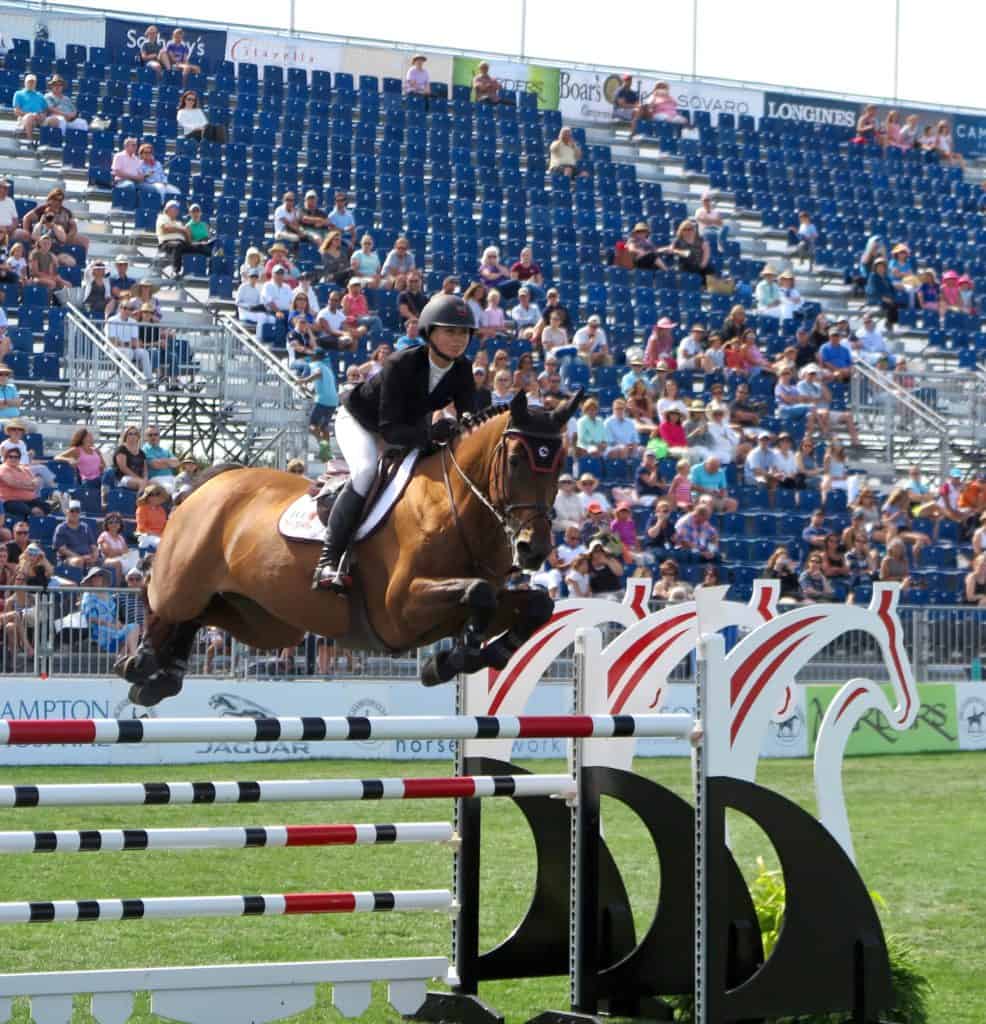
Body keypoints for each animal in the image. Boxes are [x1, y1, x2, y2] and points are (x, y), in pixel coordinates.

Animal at [116, 387, 581, 708]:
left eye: (559, 463)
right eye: (516, 460)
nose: (533, 548)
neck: (455, 505)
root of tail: (212, 481)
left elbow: (536, 604)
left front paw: (478, 654)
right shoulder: (401, 609)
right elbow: (479, 592)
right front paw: (453, 659)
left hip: (266, 618)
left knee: (204, 613)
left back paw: (162, 676)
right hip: (186, 578)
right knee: (159, 598)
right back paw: (141, 661)